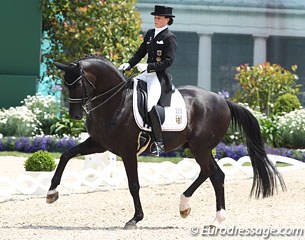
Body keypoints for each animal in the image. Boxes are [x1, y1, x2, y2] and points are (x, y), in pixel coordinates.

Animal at [46, 54, 284, 229]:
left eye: (78, 84)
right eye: (66, 84)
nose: (75, 115)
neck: (116, 102)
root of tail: (224, 100)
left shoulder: (127, 151)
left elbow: (134, 185)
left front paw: (135, 219)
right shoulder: (99, 144)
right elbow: (66, 155)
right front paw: (51, 193)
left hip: (200, 147)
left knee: (213, 174)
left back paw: (210, 217)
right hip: (198, 148)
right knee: (212, 174)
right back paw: (192, 210)